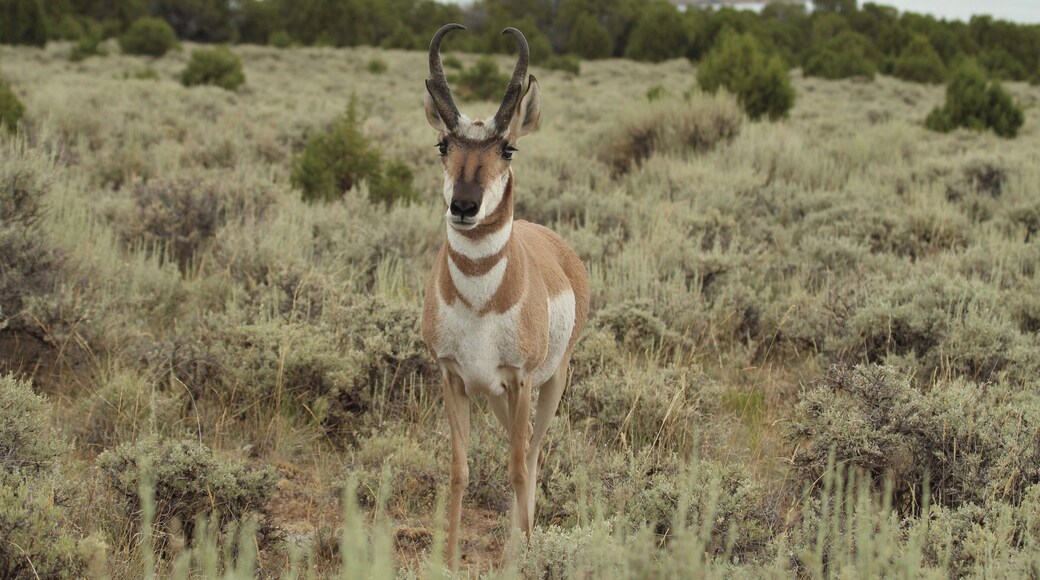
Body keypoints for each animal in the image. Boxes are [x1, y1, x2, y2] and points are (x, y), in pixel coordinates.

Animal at [420, 24, 590, 565]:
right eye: (443, 144)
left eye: (508, 149)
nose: (464, 206)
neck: (479, 303)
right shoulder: (454, 379)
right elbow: (459, 471)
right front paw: (449, 560)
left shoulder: (519, 380)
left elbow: (517, 468)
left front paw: (526, 558)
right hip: (495, 395)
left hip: (552, 380)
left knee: (532, 452)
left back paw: (522, 546)